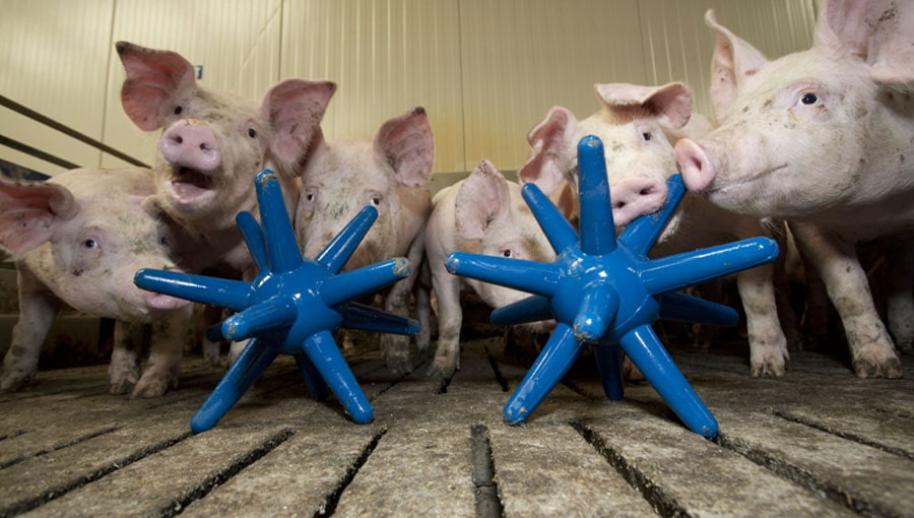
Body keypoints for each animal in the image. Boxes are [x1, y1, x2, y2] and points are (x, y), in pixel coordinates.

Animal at [0, 169, 191, 396]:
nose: (174, 279)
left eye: (162, 239)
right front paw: (7, 386)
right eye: (89, 243)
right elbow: (30, 328)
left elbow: (157, 332)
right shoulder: (30, 278)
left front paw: (142, 392)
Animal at [295, 107, 433, 373]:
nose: (324, 265)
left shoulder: (419, 238)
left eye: (375, 202)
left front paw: (400, 367)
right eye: (309, 196)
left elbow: (397, 296)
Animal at [423, 159, 575, 376]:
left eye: (557, 254)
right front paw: (438, 372)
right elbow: (452, 317)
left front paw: (525, 358)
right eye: (507, 253)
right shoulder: (439, 266)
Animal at [675, 1, 914, 377]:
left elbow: (901, 279)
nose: (686, 149)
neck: (868, 212)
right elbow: (848, 286)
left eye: (809, 98)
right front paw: (877, 368)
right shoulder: (807, 224)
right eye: (736, 113)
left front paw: (892, 364)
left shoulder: (904, 227)